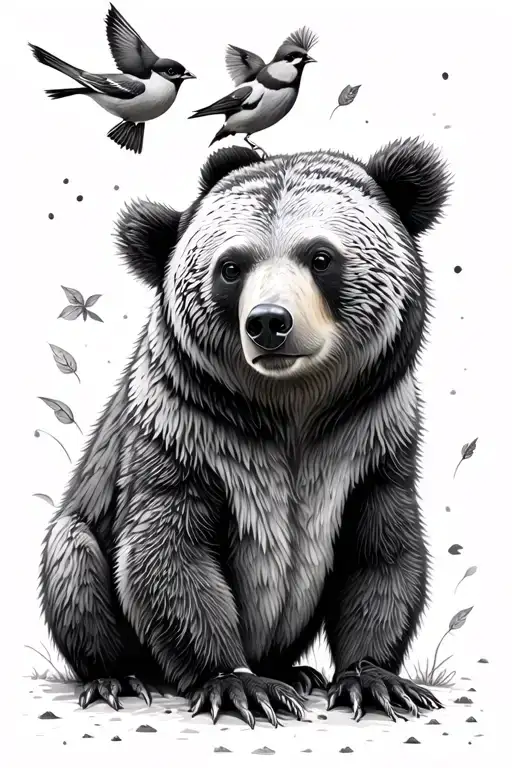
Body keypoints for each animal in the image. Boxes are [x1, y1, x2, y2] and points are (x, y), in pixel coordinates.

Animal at [40, 138, 451, 726]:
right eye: (231, 267)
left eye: (320, 257)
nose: (269, 322)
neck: (292, 407)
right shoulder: (186, 430)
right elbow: (166, 550)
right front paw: (238, 684)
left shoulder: (372, 438)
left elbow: (380, 551)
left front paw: (375, 680)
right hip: (85, 532)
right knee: (73, 560)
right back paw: (118, 676)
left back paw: (293, 671)